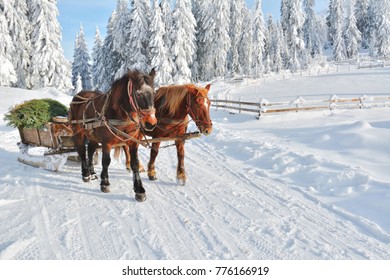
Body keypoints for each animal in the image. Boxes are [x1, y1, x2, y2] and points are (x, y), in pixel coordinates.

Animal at [69, 69, 156, 201]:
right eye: (138, 93)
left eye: (154, 92)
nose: (151, 122)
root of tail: (78, 95)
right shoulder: (107, 143)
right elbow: (106, 161)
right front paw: (105, 183)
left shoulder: (132, 142)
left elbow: (135, 163)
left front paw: (139, 189)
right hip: (78, 132)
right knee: (82, 152)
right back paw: (86, 174)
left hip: (93, 136)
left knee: (90, 151)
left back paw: (92, 172)